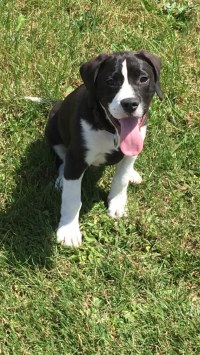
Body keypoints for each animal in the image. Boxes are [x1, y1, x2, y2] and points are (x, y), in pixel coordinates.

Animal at [45, 49, 162, 248]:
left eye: (143, 79)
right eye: (110, 81)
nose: (130, 103)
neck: (110, 129)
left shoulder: (134, 146)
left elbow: (121, 178)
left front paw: (117, 204)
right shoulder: (76, 158)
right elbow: (71, 197)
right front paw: (69, 230)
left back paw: (133, 174)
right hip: (53, 126)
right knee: (61, 158)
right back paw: (61, 178)